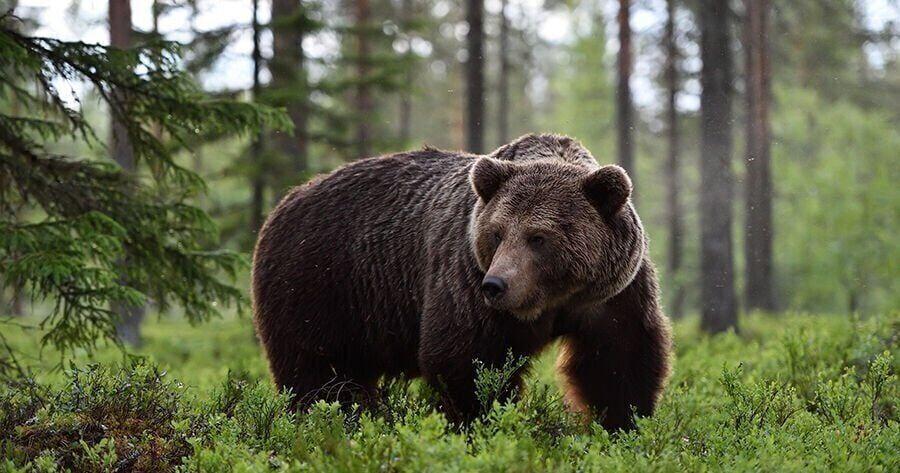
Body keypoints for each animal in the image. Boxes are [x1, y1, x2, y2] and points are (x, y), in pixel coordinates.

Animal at [251, 133, 672, 431]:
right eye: (497, 233)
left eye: (538, 237)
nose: (496, 284)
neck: (553, 299)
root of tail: (283, 204)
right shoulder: (465, 279)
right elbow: (464, 358)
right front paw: (480, 420)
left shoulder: (613, 293)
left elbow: (619, 359)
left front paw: (621, 423)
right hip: (320, 284)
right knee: (318, 371)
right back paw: (332, 417)